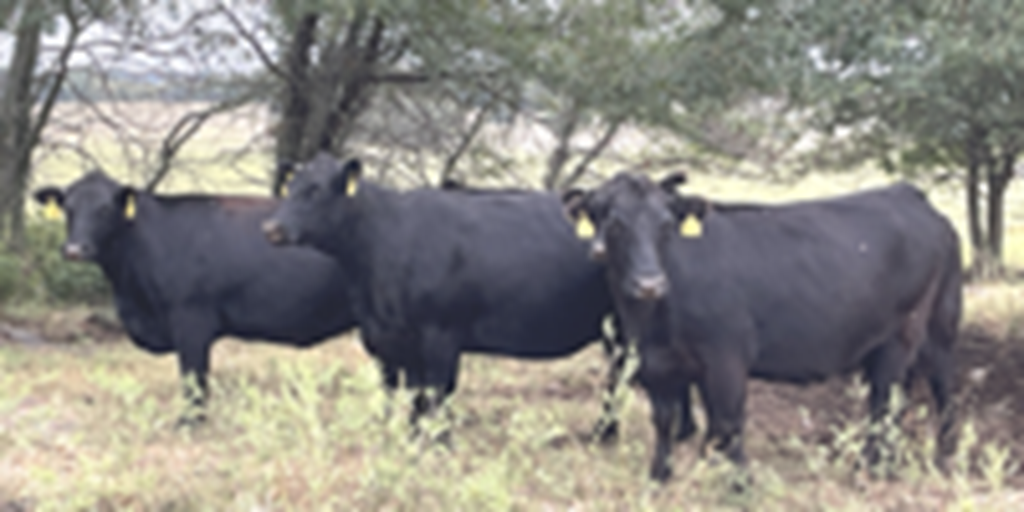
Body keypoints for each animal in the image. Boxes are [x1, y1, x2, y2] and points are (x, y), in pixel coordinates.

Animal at [33, 172, 356, 423]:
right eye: (68, 208)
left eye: (104, 209)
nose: (75, 249)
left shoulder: (190, 320)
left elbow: (193, 377)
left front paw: (190, 422)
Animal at [260, 152, 667, 440]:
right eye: (291, 188)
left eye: (316, 190)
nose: (272, 228)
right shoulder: (390, 339)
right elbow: (408, 395)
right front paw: (405, 437)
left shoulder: (439, 334)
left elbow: (436, 394)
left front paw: (436, 443)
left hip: (626, 325)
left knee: (620, 376)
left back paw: (602, 435)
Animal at [565, 172, 962, 479]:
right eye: (614, 225)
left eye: (666, 226)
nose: (649, 284)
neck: (652, 323)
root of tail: (906, 193)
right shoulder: (654, 362)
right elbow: (665, 419)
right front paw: (663, 475)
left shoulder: (726, 357)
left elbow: (728, 421)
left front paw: (739, 485)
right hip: (920, 336)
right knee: (913, 393)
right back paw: (912, 462)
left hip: (911, 332)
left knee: (901, 398)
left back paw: (884, 468)